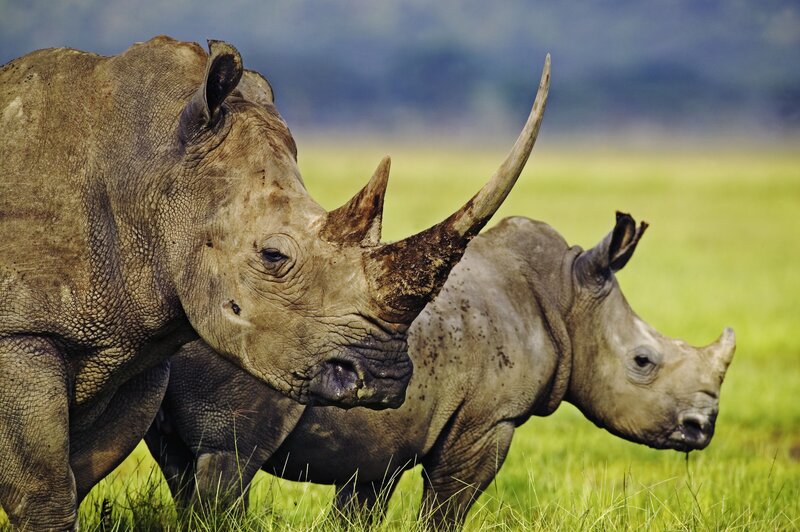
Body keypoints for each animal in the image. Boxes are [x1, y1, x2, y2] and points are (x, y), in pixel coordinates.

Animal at [0, 36, 550, 529]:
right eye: (273, 255)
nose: (384, 380)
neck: (152, 173)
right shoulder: (20, 333)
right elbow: (45, 488)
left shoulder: (134, 345)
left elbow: (79, 473)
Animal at [147, 212, 736, 528]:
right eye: (643, 362)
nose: (701, 428)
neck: (568, 298)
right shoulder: (488, 420)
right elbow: (447, 510)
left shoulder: (381, 442)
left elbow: (358, 509)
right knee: (229, 459)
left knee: (179, 463)